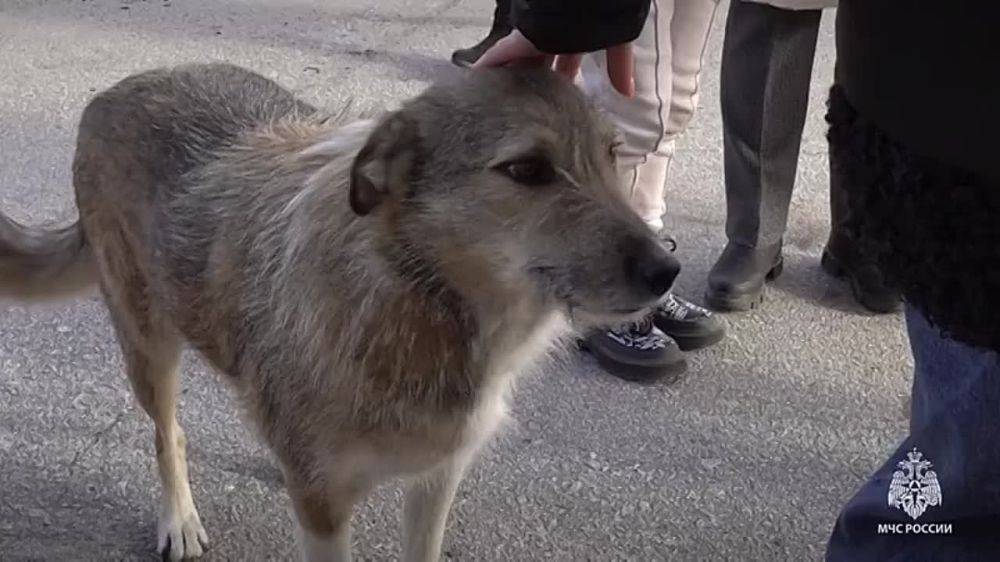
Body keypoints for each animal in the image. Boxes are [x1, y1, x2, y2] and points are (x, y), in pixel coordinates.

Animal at [0, 63, 680, 556]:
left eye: (614, 156)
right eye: (528, 169)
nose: (666, 271)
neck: (420, 302)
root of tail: (115, 91)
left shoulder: (436, 481)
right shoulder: (326, 514)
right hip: (147, 344)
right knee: (168, 433)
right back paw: (179, 519)